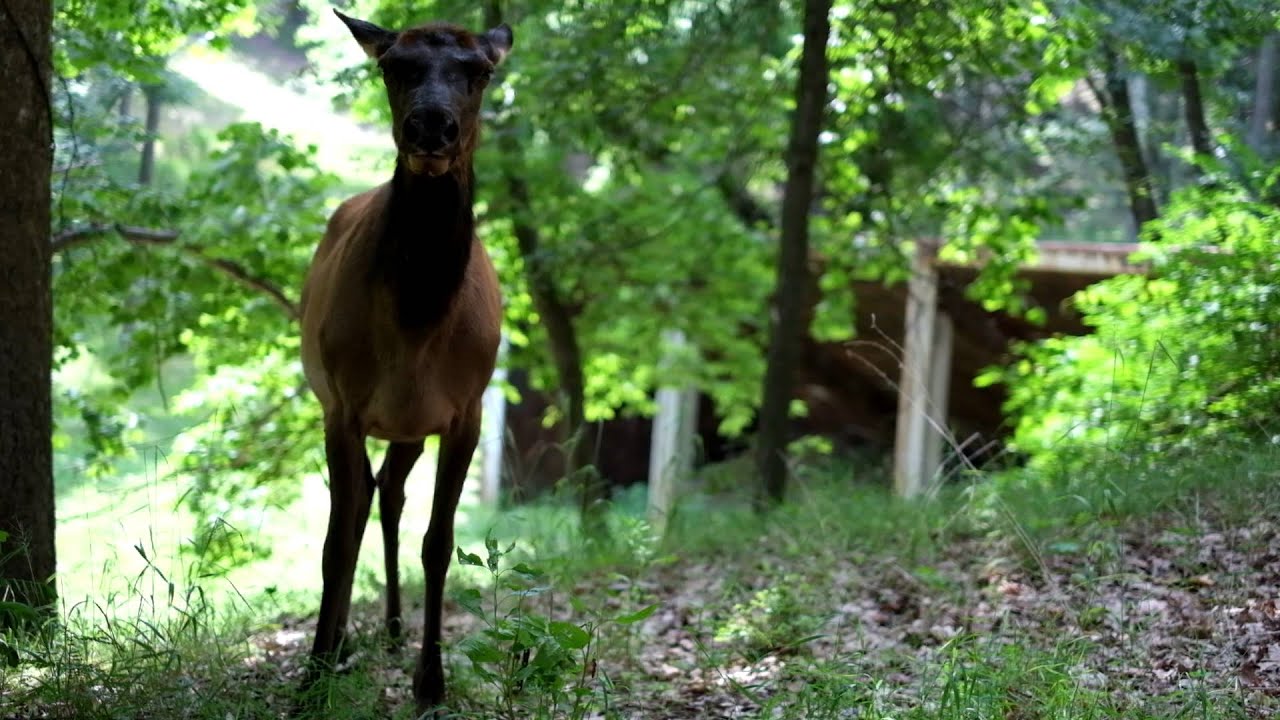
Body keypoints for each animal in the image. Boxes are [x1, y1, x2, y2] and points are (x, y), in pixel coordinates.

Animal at [298, 9, 511, 711]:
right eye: (393, 66)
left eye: (480, 71)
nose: (430, 127)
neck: (417, 330)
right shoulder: (341, 404)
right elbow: (335, 544)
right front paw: (311, 678)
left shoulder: (466, 408)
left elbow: (439, 543)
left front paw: (432, 684)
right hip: (360, 411)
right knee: (364, 499)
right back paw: (343, 641)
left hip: (409, 426)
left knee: (387, 492)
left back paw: (391, 629)